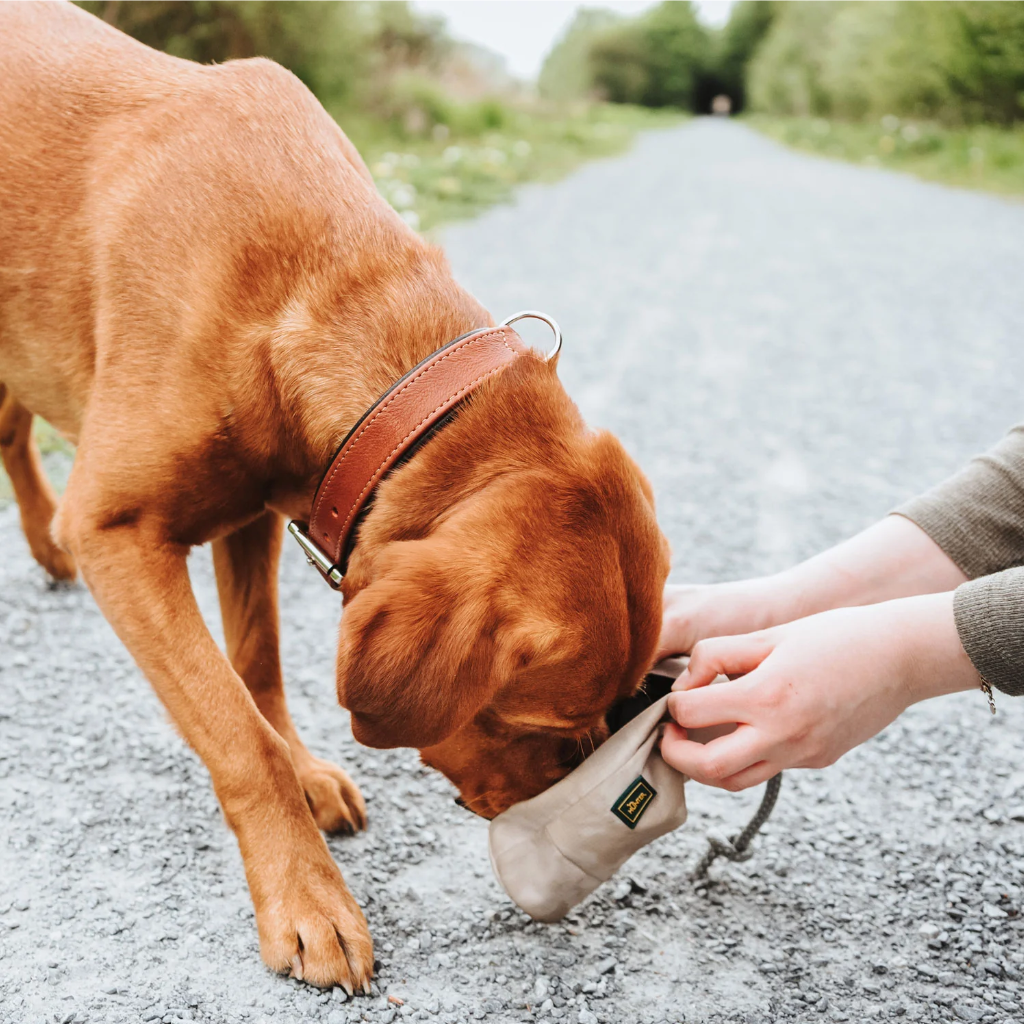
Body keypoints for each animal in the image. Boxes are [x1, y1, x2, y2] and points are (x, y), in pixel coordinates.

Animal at [0, 0, 671, 991]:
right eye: (542, 723)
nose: (542, 820)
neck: (319, 286)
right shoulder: (117, 531)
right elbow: (237, 736)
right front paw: (307, 898)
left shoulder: (253, 514)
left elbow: (258, 668)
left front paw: (305, 770)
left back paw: (44, 547)